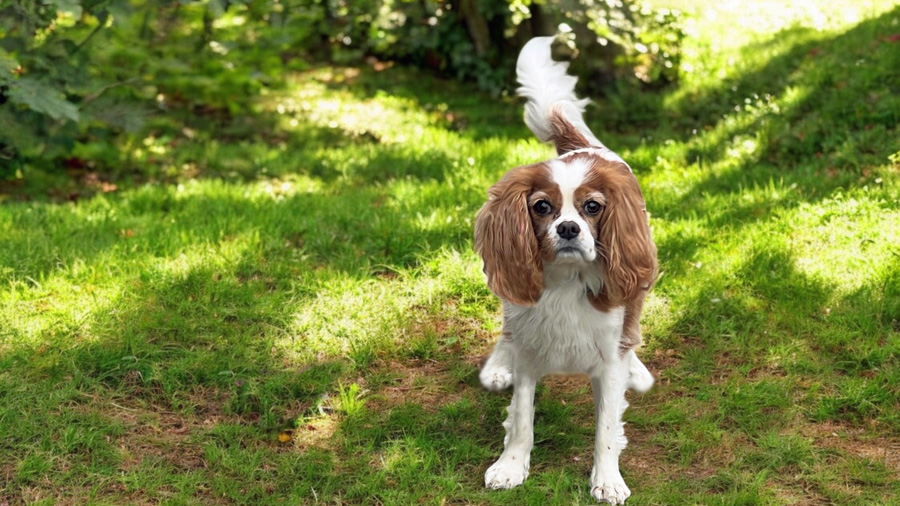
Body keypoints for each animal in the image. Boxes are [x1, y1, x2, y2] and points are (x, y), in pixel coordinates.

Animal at [474, 37, 656, 504]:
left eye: (592, 206)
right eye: (542, 207)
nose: (569, 228)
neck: (566, 282)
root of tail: (583, 145)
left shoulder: (607, 360)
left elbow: (607, 427)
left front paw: (607, 479)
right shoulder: (529, 350)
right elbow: (521, 417)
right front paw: (511, 466)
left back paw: (637, 369)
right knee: (506, 329)